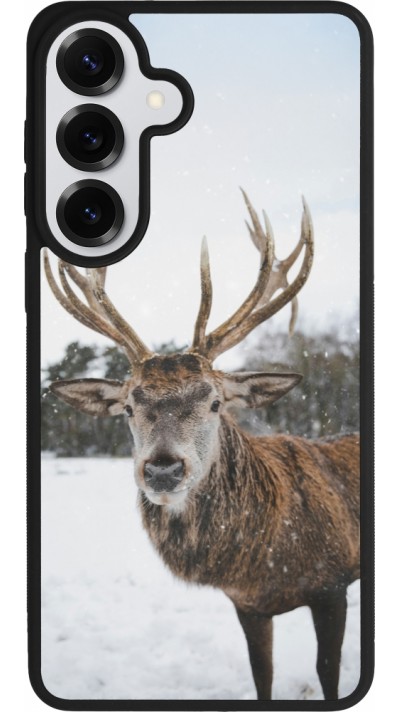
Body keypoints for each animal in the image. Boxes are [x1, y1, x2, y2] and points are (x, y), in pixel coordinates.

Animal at [44, 191, 360, 701]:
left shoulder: (333, 584)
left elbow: (327, 674)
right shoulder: (247, 605)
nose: (163, 470)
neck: (265, 561)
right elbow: (262, 676)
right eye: (128, 407)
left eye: (214, 402)